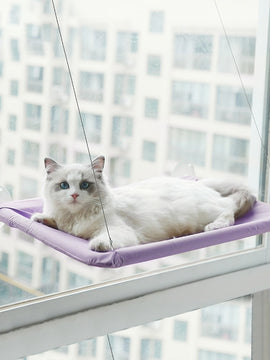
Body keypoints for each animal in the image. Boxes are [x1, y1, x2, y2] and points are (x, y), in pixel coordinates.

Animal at [31, 156, 255, 252]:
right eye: (64, 185)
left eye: (85, 185)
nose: (75, 195)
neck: (76, 217)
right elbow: (54, 221)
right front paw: (40, 218)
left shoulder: (117, 230)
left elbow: (104, 239)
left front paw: (98, 245)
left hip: (205, 211)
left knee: (229, 211)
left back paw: (214, 226)